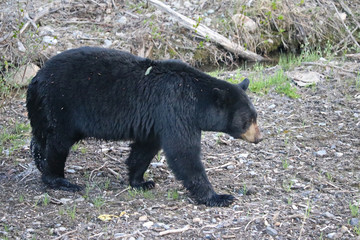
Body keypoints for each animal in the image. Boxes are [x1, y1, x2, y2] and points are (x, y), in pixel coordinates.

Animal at [26, 46, 262, 206]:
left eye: (255, 116)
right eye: (247, 120)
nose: (259, 138)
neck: (197, 99)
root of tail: (35, 78)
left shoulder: (155, 120)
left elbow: (145, 149)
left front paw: (140, 181)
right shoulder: (175, 110)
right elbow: (183, 153)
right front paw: (218, 196)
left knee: (42, 140)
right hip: (60, 105)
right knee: (57, 144)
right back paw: (60, 180)